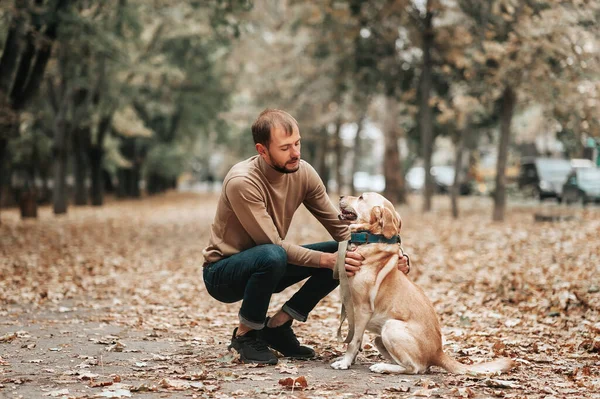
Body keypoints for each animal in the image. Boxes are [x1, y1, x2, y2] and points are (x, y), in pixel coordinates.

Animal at [332, 193, 510, 376]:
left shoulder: (362, 309)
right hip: (380, 338)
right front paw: (351, 361)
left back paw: (382, 367)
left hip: (391, 327)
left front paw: (345, 362)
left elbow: (353, 341)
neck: (370, 239)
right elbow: (357, 340)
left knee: (415, 368)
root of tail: (438, 353)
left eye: (361, 197)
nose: (341, 196)